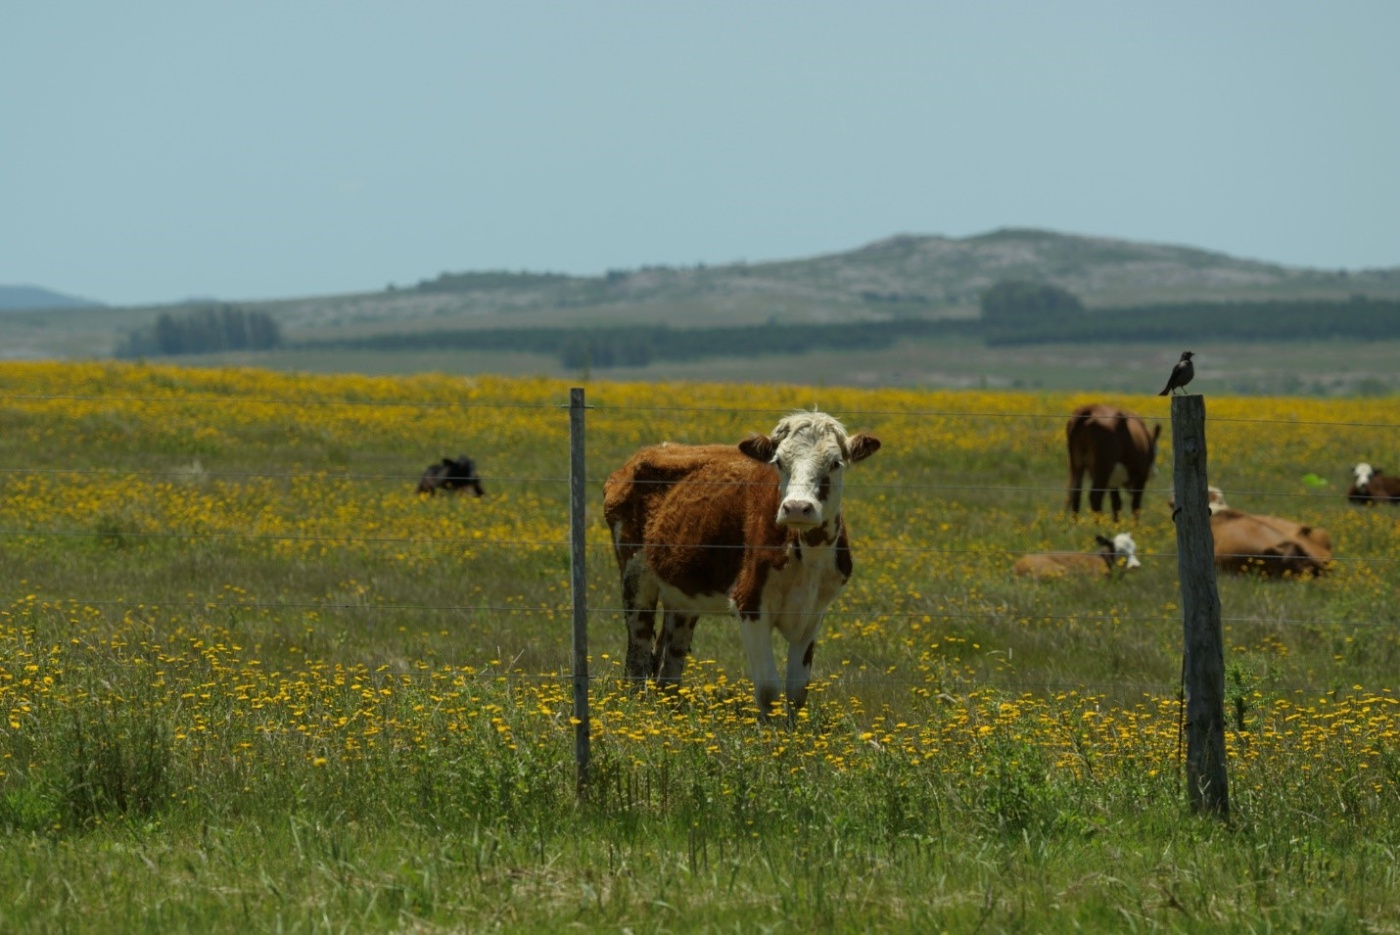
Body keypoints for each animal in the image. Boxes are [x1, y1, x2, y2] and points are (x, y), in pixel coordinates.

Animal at [604, 408, 884, 722]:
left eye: (835, 463)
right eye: (779, 462)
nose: (797, 508)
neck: (807, 557)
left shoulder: (815, 611)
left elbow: (797, 690)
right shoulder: (750, 602)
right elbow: (769, 689)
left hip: (682, 595)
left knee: (671, 661)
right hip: (635, 578)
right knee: (638, 655)